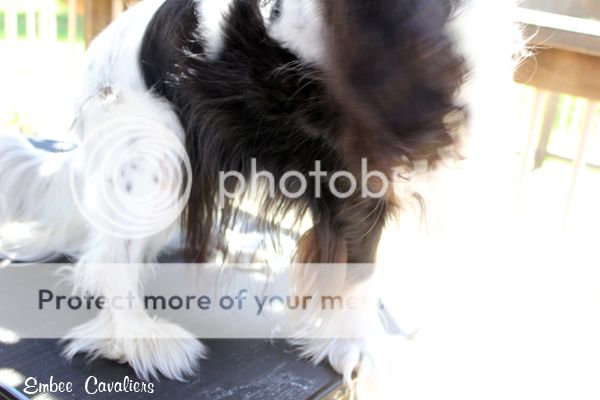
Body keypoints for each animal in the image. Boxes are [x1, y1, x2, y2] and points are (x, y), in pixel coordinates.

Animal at [0, 0, 523, 390]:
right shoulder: (356, 175)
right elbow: (361, 271)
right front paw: (355, 347)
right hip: (157, 154)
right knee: (107, 260)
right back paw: (140, 340)